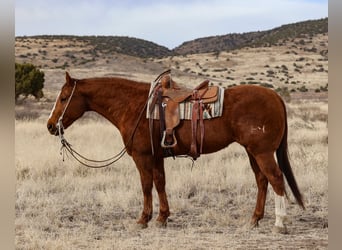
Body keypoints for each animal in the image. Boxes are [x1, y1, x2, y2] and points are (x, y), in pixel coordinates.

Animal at [46, 72, 304, 232]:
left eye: (64, 98)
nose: (50, 126)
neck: (134, 106)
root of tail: (275, 96)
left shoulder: (142, 157)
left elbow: (146, 185)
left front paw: (143, 219)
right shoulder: (157, 157)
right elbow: (160, 183)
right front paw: (162, 217)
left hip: (262, 152)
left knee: (276, 179)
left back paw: (280, 223)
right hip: (252, 152)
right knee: (262, 181)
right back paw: (254, 219)